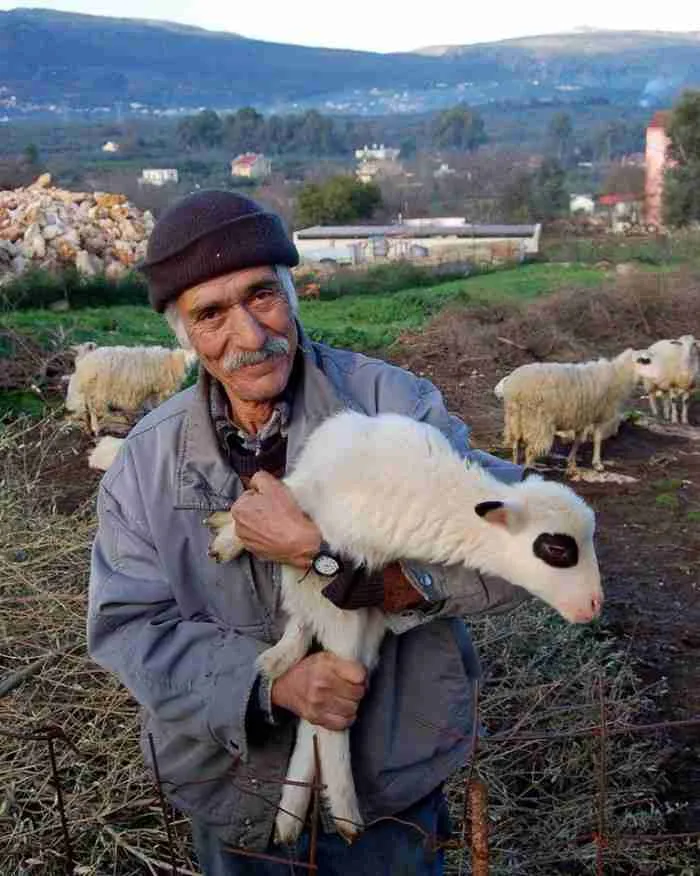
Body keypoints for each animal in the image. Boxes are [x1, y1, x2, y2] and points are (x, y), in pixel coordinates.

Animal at [65, 346, 197, 434]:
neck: (175, 361)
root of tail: (84, 366)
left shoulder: (152, 392)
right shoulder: (162, 391)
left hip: (92, 391)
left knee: (89, 408)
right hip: (98, 390)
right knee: (93, 409)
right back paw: (95, 428)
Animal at [205, 412, 604, 848]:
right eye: (556, 549)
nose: (595, 605)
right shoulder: (303, 490)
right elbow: (255, 506)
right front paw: (226, 540)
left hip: (356, 626)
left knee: (324, 717)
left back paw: (319, 815)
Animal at [494, 348, 652, 476]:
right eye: (646, 360)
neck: (619, 375)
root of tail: (516, 388)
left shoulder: (581, 416)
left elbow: (578, 440)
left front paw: (571, 462)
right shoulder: (601, 414)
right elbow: (597, 439)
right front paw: (597, 464)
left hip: (515, 418)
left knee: (515, 444)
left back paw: (514, 465)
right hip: (538, 421)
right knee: (531, 450)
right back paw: (529, 469)